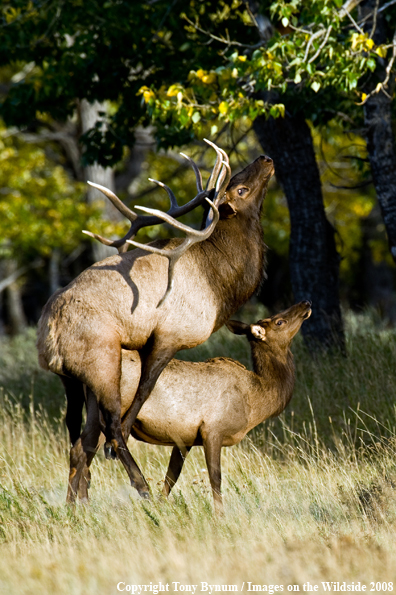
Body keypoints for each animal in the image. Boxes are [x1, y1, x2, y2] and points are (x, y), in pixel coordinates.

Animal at [35, 142, 274, 500]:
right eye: (241, 189)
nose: (265, 157)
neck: (221, 287)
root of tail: (46, 337)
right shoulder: (168, 335)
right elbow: (143, 392)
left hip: (71, 378)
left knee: (76, 435)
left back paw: (77, 502)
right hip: (101, 361)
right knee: (107, 424)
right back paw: (141, 486)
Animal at [67, 302, 310, 512]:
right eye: (279, 321)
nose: (305, 303)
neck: (256, 399)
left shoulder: (185, 438)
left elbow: (171, 477)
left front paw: (162, 507)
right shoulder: (213, 429)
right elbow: (215, 478)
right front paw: (220, 515)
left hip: (92, 412)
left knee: (80, 450)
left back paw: (75, 508)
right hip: (113, 409)